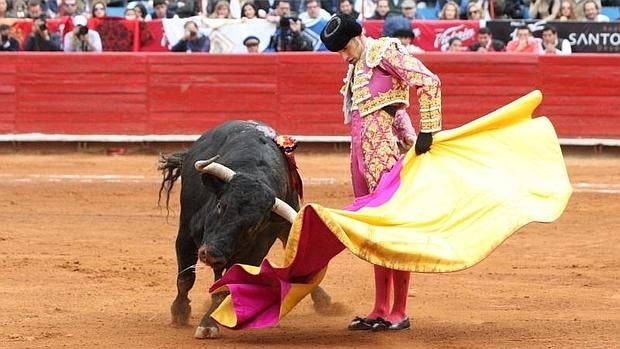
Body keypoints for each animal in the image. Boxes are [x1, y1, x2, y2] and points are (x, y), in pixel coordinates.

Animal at [160, 121, 332, 338]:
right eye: (221, 205)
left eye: (254, 225)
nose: (212, 255)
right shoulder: (185, 236)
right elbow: (185, 278)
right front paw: (180, 312)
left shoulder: (254, 252)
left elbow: (226, 287)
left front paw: (208, 324)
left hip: (287, 224)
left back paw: (323, 301)